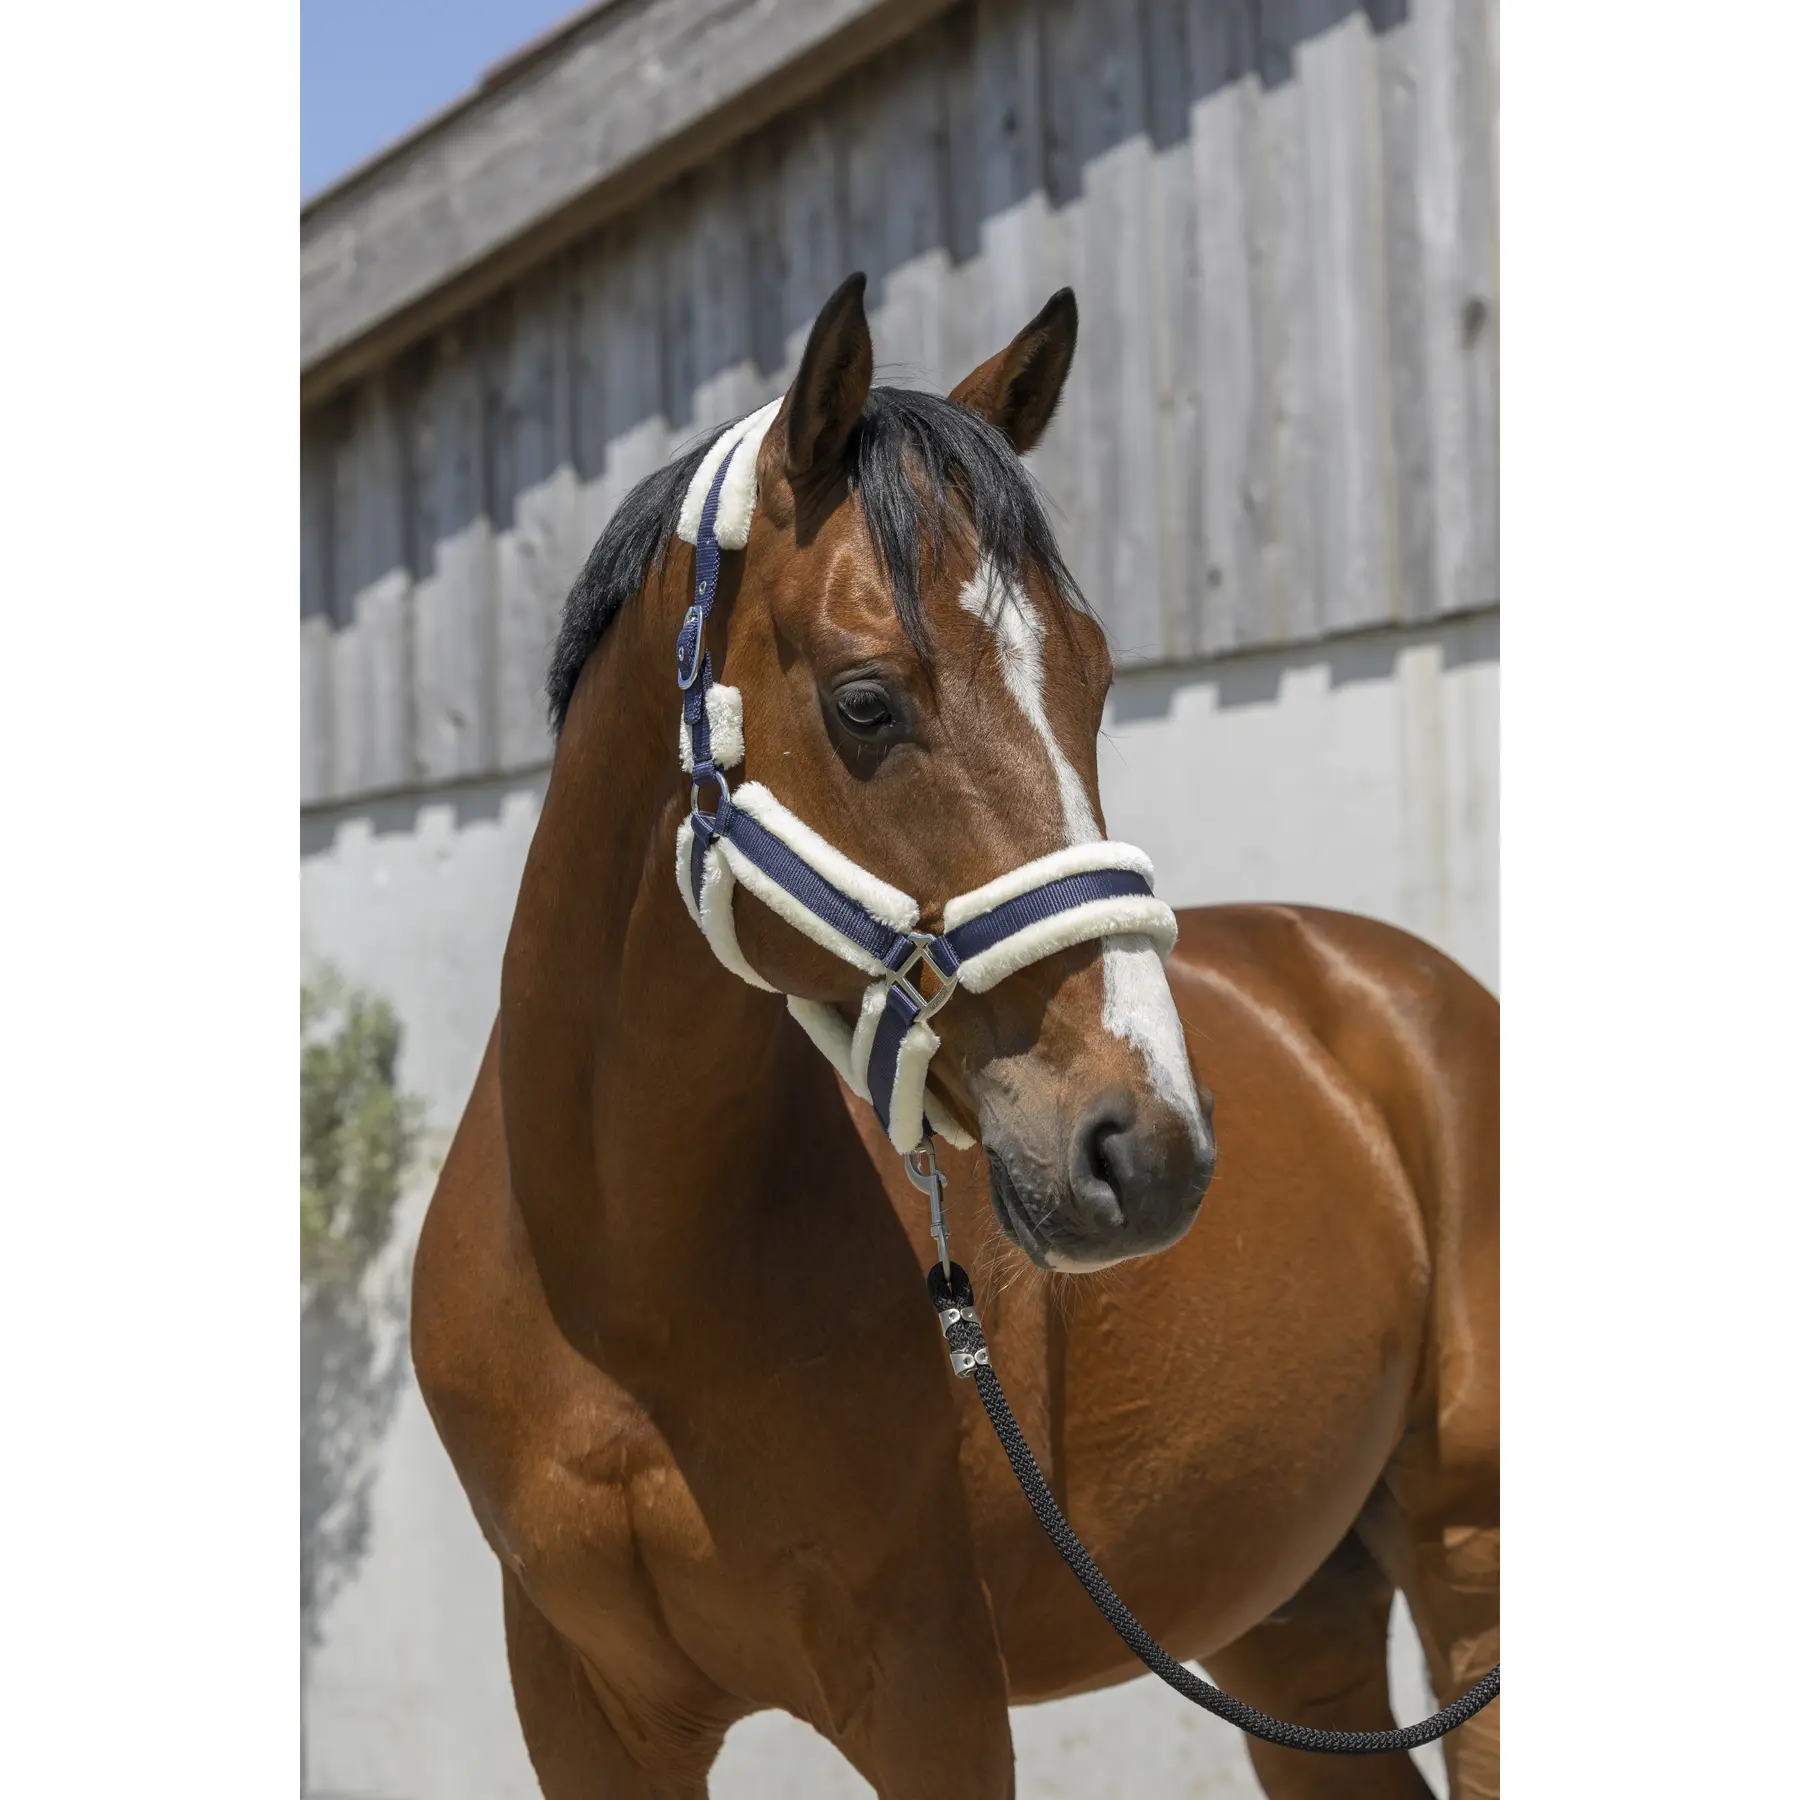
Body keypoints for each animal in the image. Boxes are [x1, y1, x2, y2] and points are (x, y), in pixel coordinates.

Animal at [411, 273, 1500, 1800]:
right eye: (867, 701)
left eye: (1095, 684)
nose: (1146, 1148)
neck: (622, 1300)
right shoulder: (583, 1713)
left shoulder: (930, 1696)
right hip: (1292, 1613)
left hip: (1470, 1570)